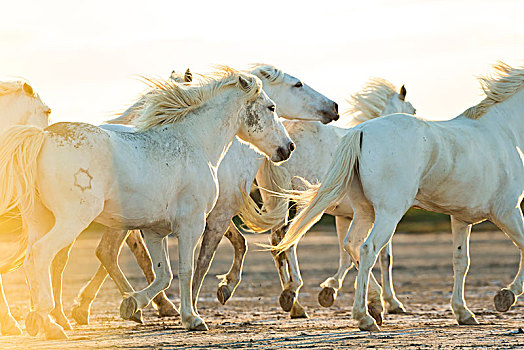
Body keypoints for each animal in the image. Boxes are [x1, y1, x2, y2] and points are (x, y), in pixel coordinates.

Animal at [0, 66, 292, 340]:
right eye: (271, 107)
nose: (288, 147)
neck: (193, 141)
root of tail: (42, 137)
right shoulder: (192, 224)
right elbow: (186, 269)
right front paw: (192, 319)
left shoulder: (154, 231)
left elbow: (164, 275)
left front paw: (132, 305)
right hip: (71, 221)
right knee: (41, 256)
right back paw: (49, 323)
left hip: (42, 220)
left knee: (35, 259)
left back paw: (45, 321)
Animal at [70, 63, 340, 322]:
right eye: (298, 84)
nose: (334, 107)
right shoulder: (215, 215)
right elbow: (203, 261)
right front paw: (196, 305)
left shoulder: (216, 214)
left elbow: (241, 243)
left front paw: (227, 289)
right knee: (106, 253)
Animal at [274, 62, 524, 330]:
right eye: (413, 109)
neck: (502, 131)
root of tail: (360, 131)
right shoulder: (507, 212)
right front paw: (506, 295)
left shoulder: (461, 218)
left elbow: (461, 261)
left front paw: (463, 312)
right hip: (386, 214)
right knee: (363, 249)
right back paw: (362, 316)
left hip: (365, 212)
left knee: (346, 245)